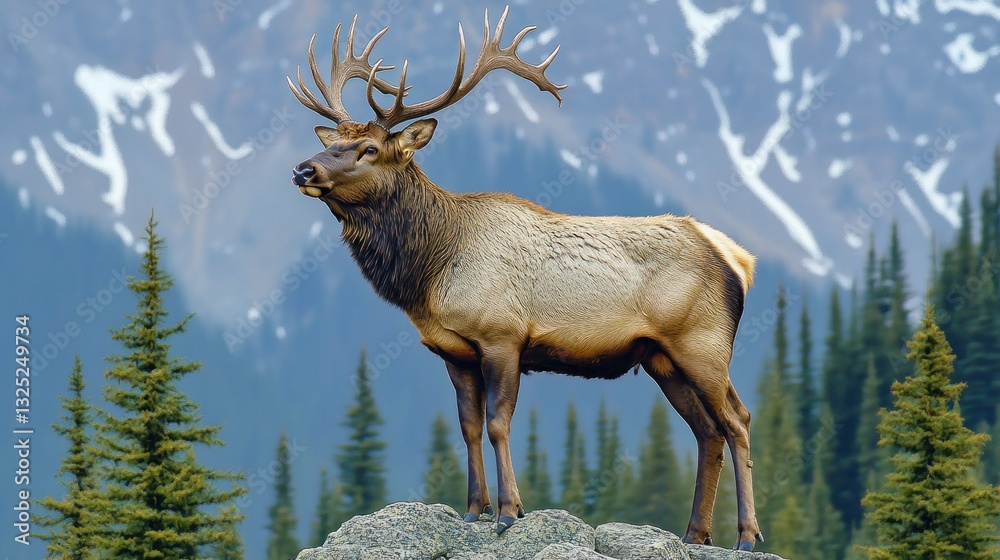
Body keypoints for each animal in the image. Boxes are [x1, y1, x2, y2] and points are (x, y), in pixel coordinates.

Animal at [287, 7, 764, 551]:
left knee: (737, 420)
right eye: (338, 141)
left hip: (703, 342)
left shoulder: (503, 336)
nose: (303, 170)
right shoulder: (454, 351)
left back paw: (746, 534)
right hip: (661, 357)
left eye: (368, 148)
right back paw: (695, 534)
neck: (430, 271)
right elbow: (469, 427)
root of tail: (738, 259)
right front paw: (474, 509)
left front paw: (509, 511)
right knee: (707, 431)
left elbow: (498, 423)